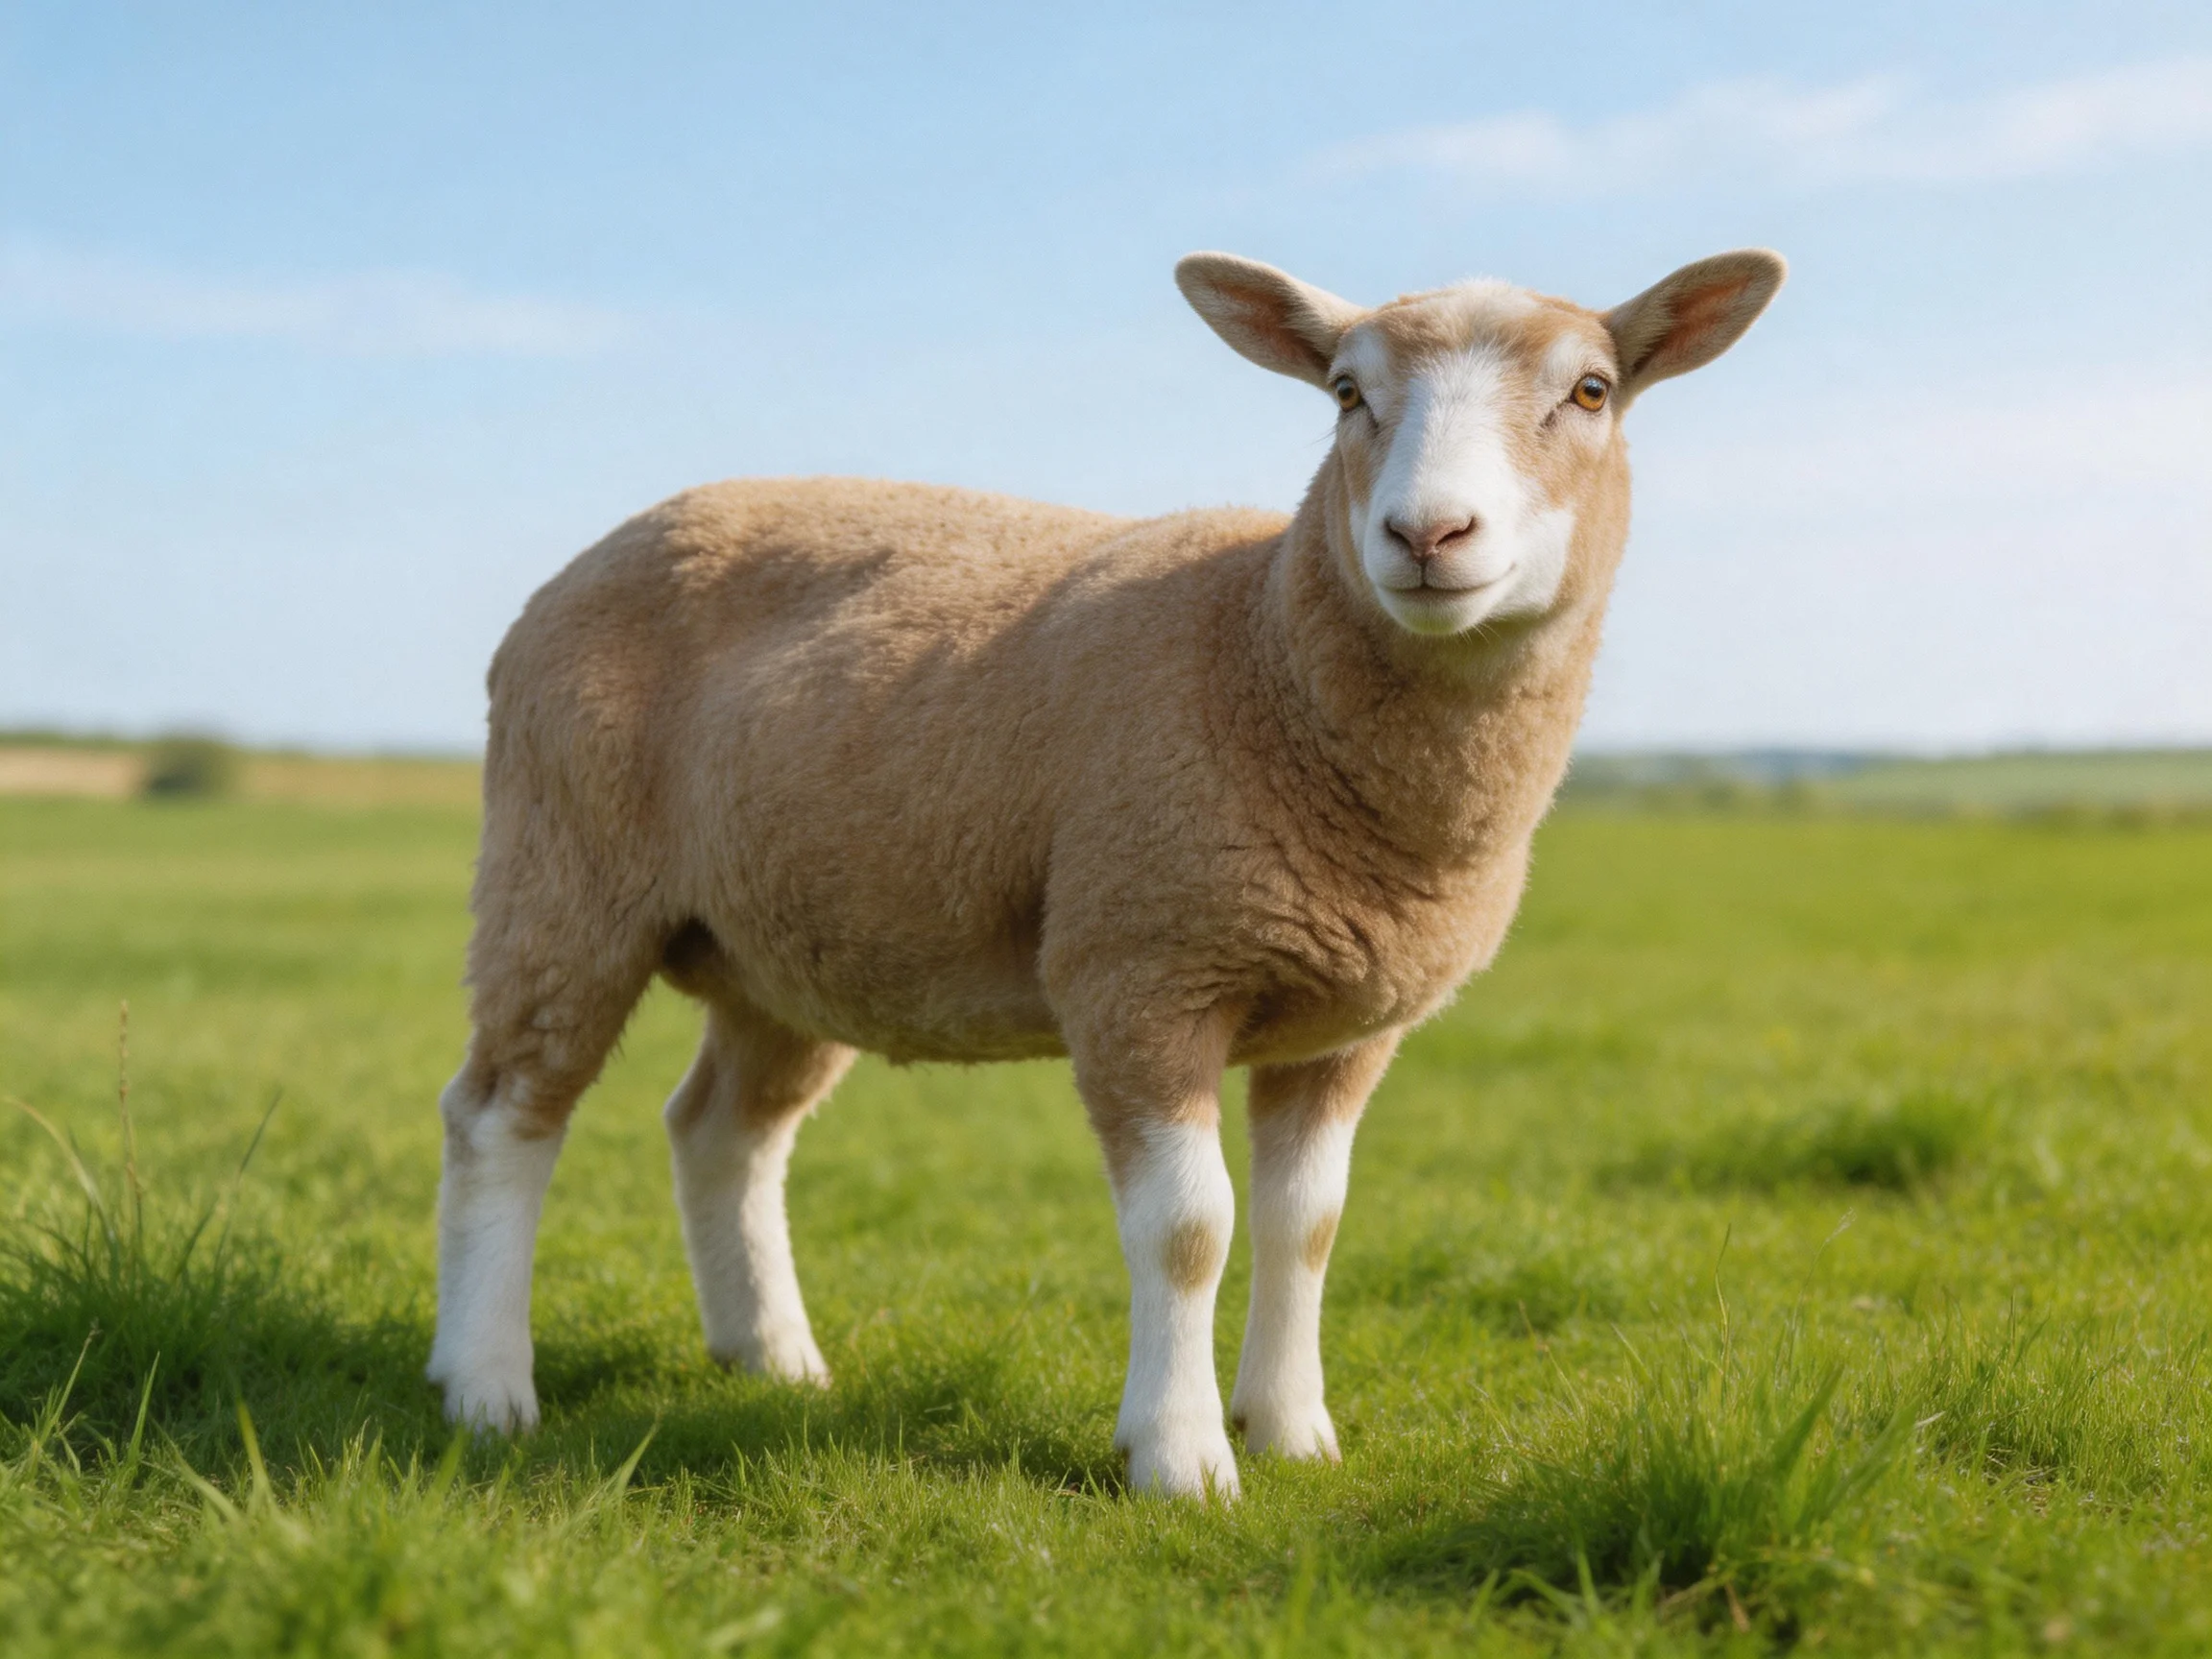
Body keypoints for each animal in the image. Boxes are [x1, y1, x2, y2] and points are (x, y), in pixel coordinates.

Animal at [426, 247, 1786, 1500]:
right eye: (1347, 393)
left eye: (1592, 390)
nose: (1426, 534)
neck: (1258, 649)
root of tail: (588, 562)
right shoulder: (1141, 967)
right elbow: (1191, 1229)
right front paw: (1179, 1460)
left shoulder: (1347, 1022)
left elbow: (1307, 1226)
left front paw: (1292, 1431)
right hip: (564, 871)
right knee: (502, 1115)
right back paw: (485, 1384)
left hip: (785, 940)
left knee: (722, 1131)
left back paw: (771, 1359)